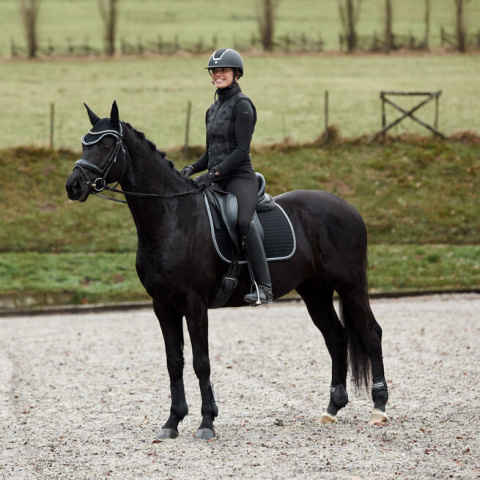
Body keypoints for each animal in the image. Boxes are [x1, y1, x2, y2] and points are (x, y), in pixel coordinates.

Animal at [66, 101, 390, 438]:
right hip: (315, 290)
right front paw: (172, 422)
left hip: (351, 285)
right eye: (84, 143)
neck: (172, 217)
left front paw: (207, 421)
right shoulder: (163, 306)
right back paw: (332, 409)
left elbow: (201, 362)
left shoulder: (194, 303)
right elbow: (174, 362)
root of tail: (348, 208)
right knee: (336, 338)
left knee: (371, 334)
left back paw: (379, 408)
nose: (73, 186)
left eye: (107, 144)